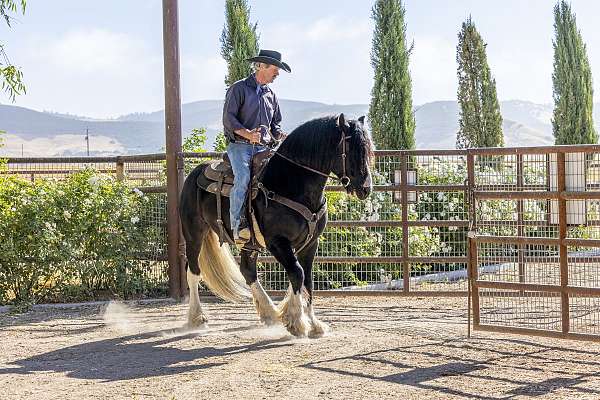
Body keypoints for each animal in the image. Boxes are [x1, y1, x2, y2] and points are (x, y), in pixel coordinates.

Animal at [180, 112, 372, 338]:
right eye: (351, 148)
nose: (365, 188)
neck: (290, 183)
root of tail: (195, 172)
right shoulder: (277, 242)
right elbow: (297, 273)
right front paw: (297, 322)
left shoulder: (310, 243)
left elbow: (308, 280)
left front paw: (314, 324)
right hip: (194, 234)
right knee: (193, 272)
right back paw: (197, 318)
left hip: (249, 244)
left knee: (248, 271)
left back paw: (269, 313)